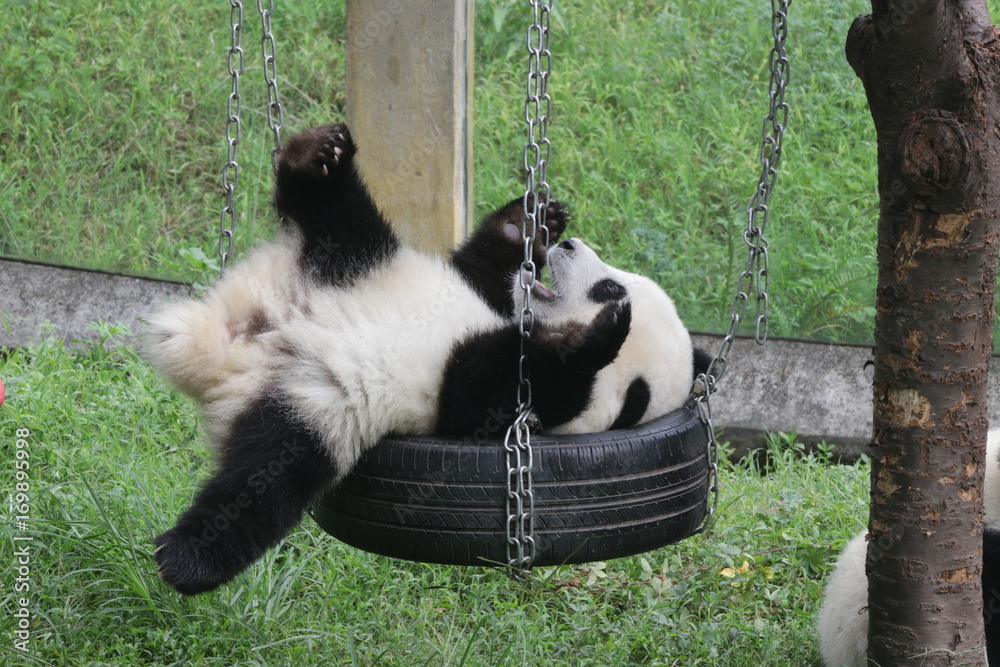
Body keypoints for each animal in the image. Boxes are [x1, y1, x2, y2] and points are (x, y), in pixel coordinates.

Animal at [145, 123, 705, 595]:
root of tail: (230, 344)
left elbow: (474, 394)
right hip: (359, 261)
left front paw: (595, 335)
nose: (569, 245)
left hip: (316, 405)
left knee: (264, 481)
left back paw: (188, 558)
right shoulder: (481, 295)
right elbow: (478, 267)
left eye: (609, 286)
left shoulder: (519, 410)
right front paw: (533, 221)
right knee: (338, 213)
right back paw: (317, 156)